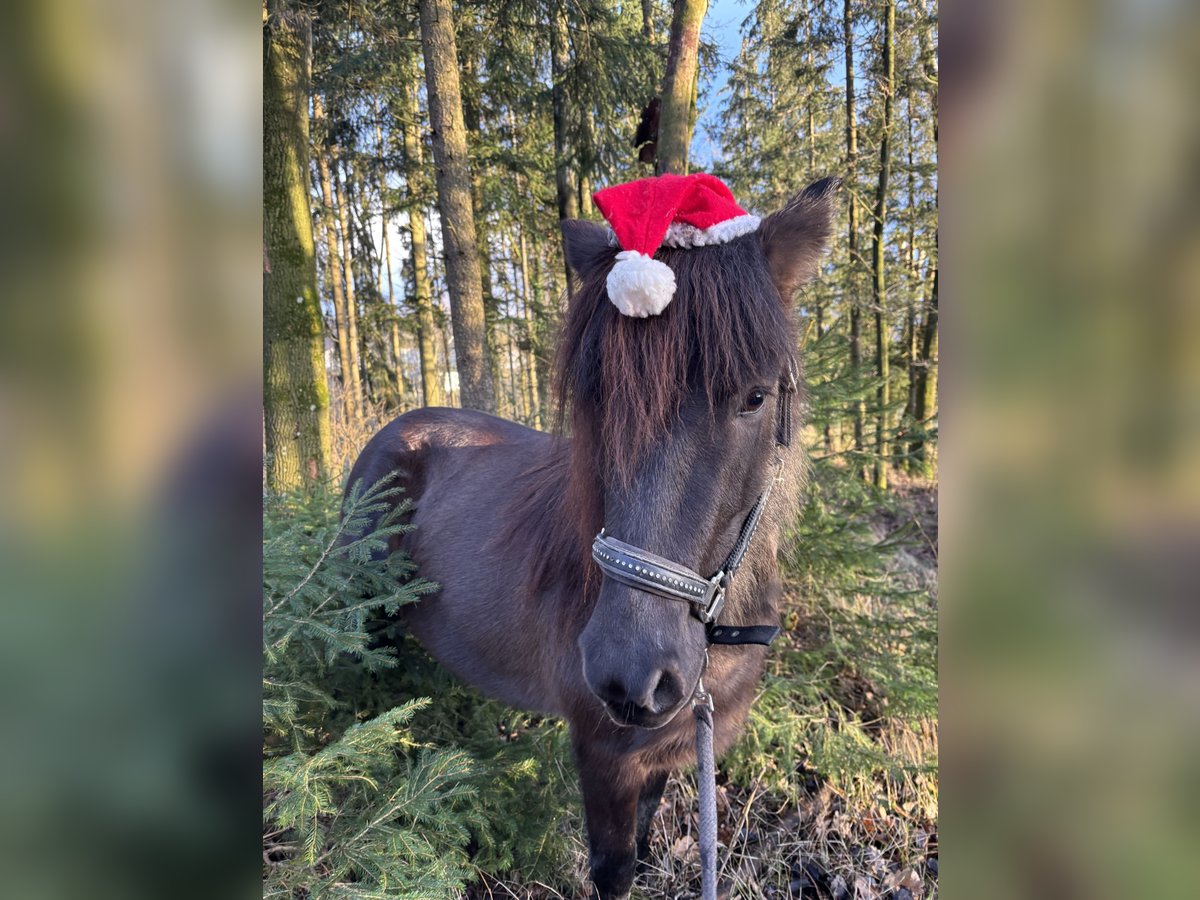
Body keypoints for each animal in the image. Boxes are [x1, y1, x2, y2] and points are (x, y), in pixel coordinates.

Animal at [343, 177, 840, 900]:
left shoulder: (664, 749)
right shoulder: (604, 760)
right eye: (593, 398)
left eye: (753, 397)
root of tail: (393, 428)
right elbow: (615, 868)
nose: (628, 674)